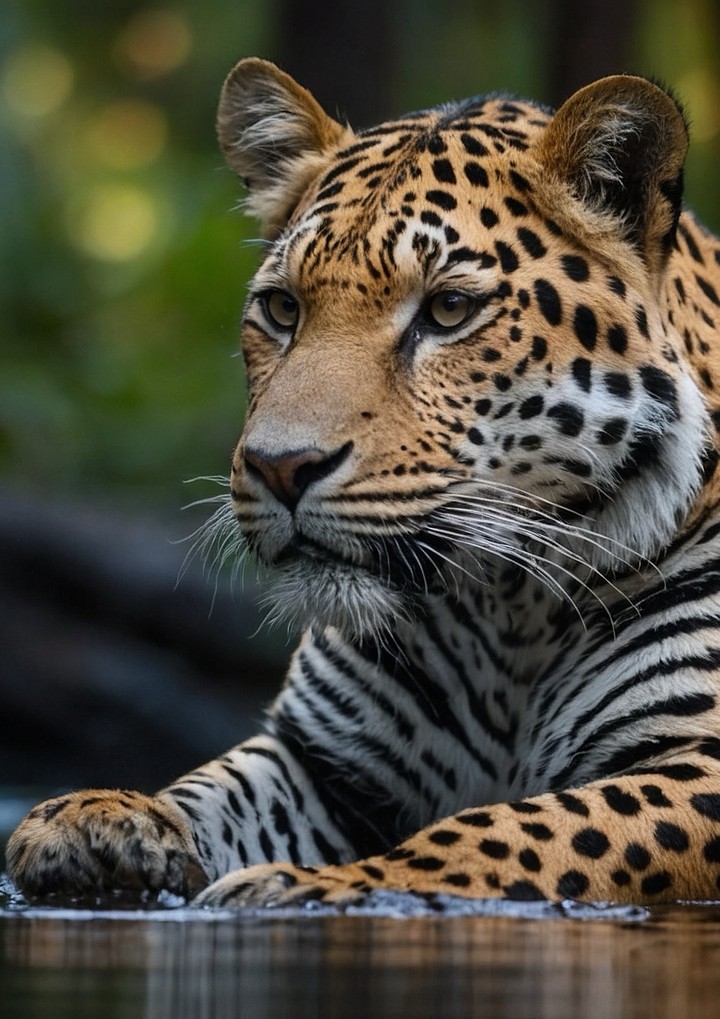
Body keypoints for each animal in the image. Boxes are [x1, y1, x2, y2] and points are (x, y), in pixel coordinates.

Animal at [8, 58, 720, 909]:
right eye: (283, 308)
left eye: (448, 309)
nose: (280, 466)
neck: (506, 614)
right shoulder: (325, 764)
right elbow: (214, 785)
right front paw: (95, 818)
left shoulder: (700, 763)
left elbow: (513, 830)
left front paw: (317, 886)